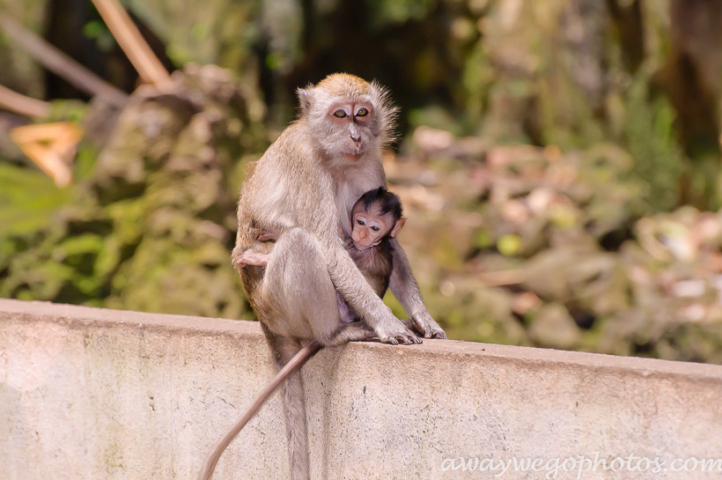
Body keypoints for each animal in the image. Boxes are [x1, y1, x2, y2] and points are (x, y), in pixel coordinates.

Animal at [198, 73, 444, 480]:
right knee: (300, 242)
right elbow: (327, 246)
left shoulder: (371, 165)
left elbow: (392, 241)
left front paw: (424, 319)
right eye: (340, 114)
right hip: (280, 307)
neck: (333, 157)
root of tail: (261, 317)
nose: (356, 135)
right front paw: (388, 323)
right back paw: (335, 332)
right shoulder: (307, 167)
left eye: (363, 113)